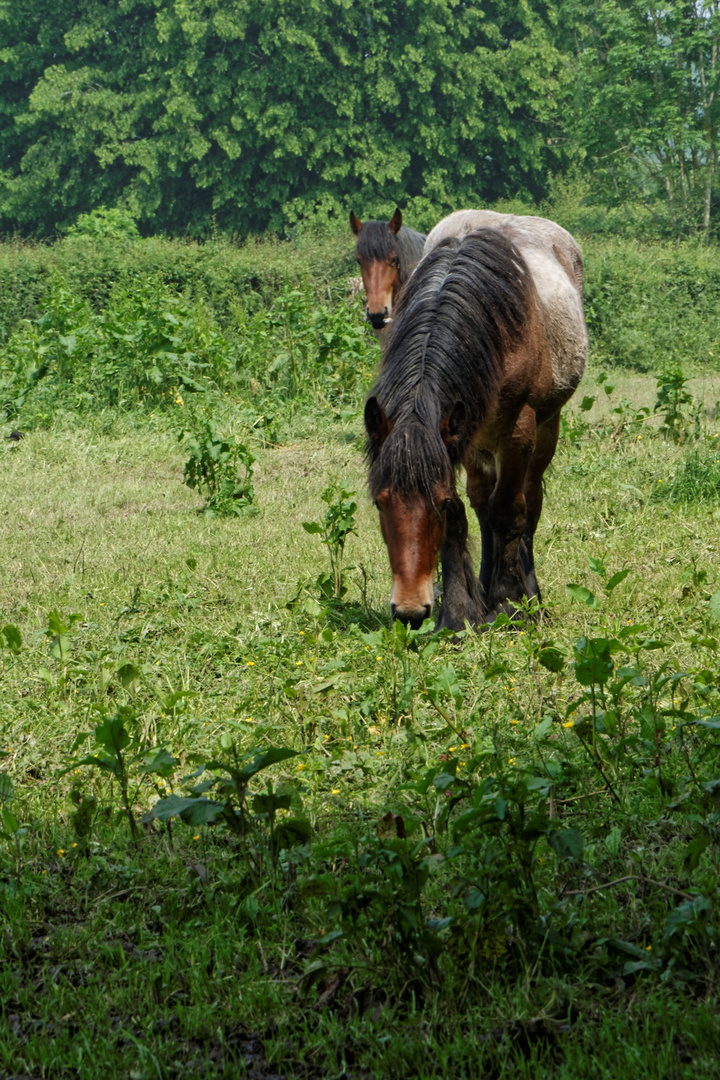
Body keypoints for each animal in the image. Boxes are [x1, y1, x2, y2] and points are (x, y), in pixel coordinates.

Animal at [362, 208, 587, 630]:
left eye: (435, 503)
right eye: (381, 504)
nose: (409, 611)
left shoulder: (519, 430)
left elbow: (509, 512)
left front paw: (509, 603)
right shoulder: (457, 435)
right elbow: (467, 516)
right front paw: (458, 612)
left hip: (544, 429)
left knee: (528, 501)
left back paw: (529, 596)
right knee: (485, 504)